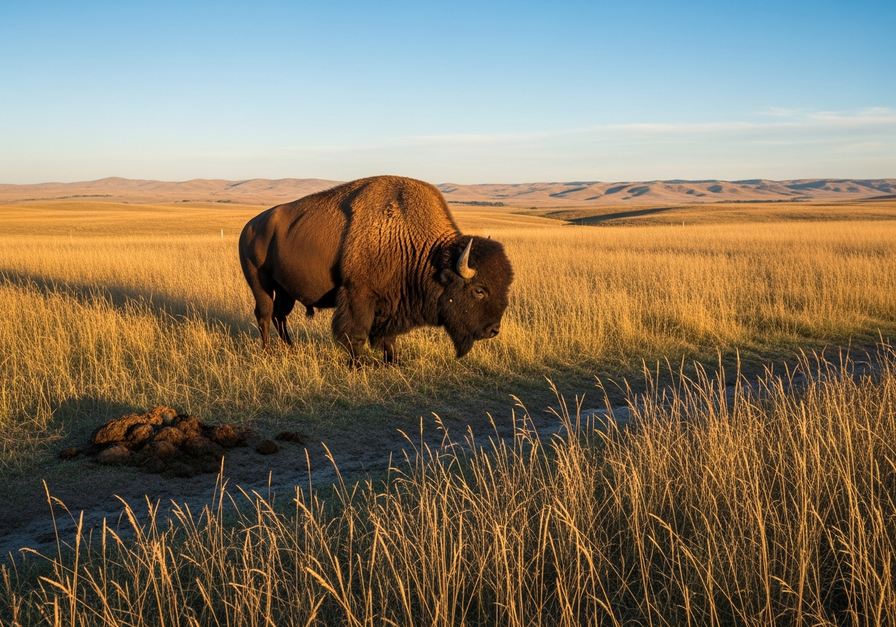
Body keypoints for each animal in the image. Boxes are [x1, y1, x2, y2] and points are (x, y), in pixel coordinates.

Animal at [238, 175, 514, 363]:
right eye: (479, 290)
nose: (493, 330)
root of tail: (249, 227)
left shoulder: (391, 303)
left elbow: (387, 337)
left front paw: (393, 362)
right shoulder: (358, 296)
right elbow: (357, 334)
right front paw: (357, 365)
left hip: (285, 289)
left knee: (280, 316)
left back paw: (291, 349)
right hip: (260, 282)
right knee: (264, 315)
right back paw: (268, 353)